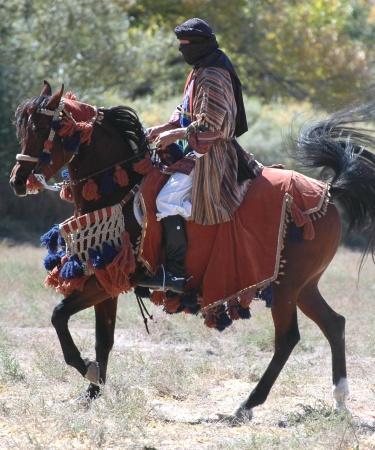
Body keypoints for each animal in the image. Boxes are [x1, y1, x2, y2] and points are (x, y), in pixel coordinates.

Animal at [8, 81, 375, 422]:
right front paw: (91, 392)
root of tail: (328, 192)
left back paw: (247, 404)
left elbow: (59, 316)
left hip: (286, 287)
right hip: (302, 287)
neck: (119, 189)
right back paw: (340, 399)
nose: (17, 180)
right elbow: (102, 339)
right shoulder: (107, 279)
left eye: (40, 130)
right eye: (22, 129)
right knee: (334, 324)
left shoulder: (106, 281)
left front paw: (87, 371)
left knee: (288, 339)